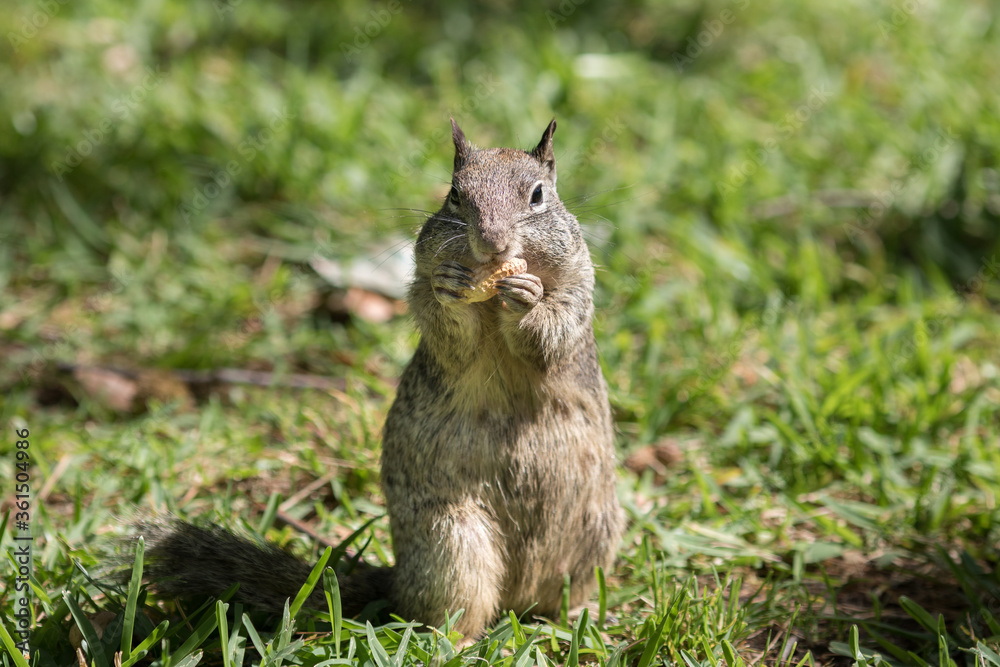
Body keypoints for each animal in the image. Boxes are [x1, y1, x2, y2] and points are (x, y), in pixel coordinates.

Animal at [136, 119, 624, 640]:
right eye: (454, 195)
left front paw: (528, 296)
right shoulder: (425, 293)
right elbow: (451, 333)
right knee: (449, 609)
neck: (492, 301)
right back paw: (457, 643)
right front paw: (454, 289)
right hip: (452, 543)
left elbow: (553, 335)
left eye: (537, 195)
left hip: (591, 540)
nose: (492, 244)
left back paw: (578, 617)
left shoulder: (578, 288)